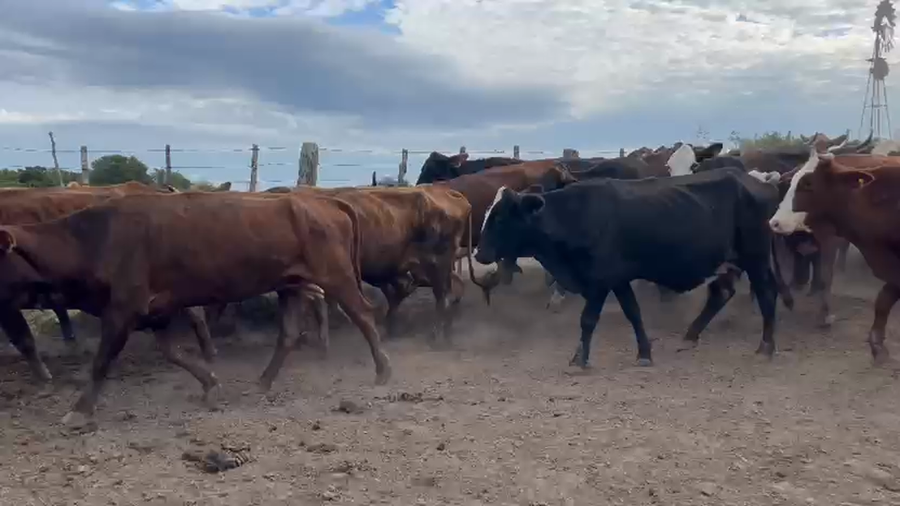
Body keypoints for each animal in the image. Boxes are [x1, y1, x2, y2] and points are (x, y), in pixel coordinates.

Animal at [0, 191, 391, 427]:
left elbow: (101, 363)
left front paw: (79, 411)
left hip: (336, 277)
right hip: (291, 286)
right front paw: (211, 385)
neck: (95, 238)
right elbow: (173, 353)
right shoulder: (153, 313)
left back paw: (383, 371)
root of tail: (324, 200)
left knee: (364, 315)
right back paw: (263, 381)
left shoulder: (123, 310)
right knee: (290, 334)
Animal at [474, 167, 790, 369]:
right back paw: (690, 335)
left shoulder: (600, 280)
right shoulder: (618, 279)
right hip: (728, 262)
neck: (575, 215)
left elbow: (588, 319)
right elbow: (633, 313)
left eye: (500, 217)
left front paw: (579, 359)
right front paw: (645, 353)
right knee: (721, 294)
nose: (478, 252)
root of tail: (762, 182)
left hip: (755, 257)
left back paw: (765, 347)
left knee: (766, 293)